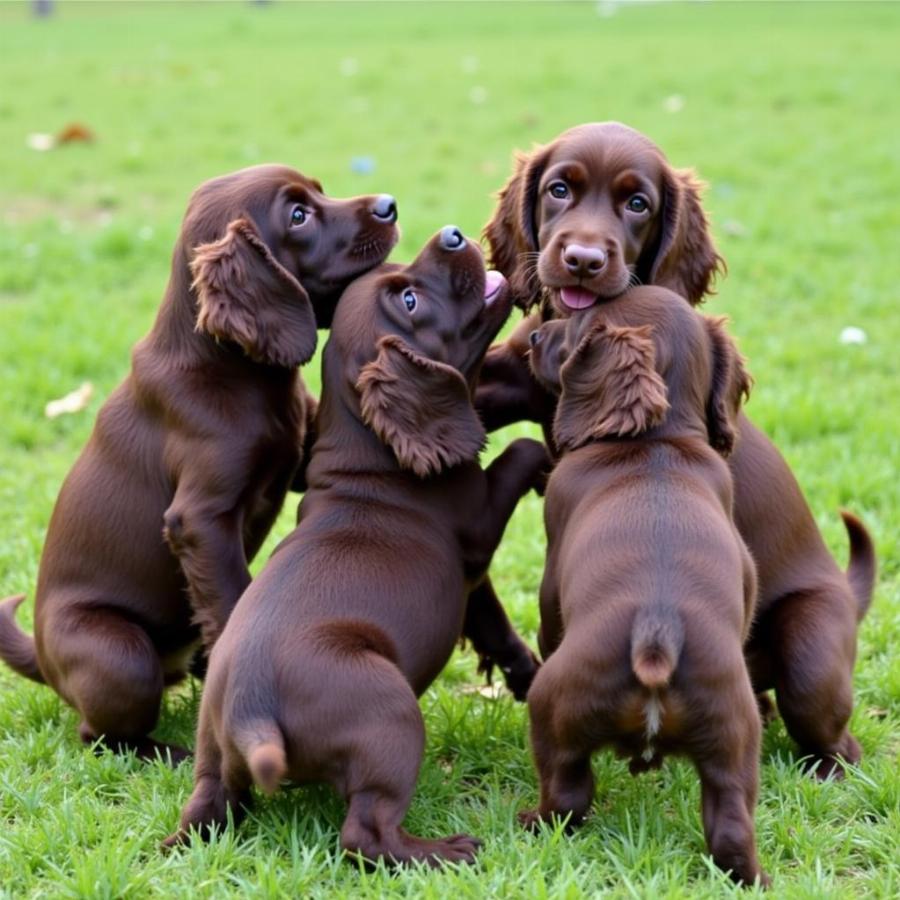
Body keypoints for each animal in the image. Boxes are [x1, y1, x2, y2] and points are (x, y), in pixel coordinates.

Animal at [0, 167, 398, 760]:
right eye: (298, 215)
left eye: (320, 190)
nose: (390, 205)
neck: (231, 367)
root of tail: (44, 661)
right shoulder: (200, 519)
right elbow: (232, 597)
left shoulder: (299, 453)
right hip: (119, 654)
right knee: (100, 734)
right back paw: (166, 751)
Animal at [165, 227, 552, 864]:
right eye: (409, 300)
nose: (451, 234)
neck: (369, 450)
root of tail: (250, 710)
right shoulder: (477, 526)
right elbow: (519, 455)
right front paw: (542, 463)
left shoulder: (468, 578)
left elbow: (491, 620)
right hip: (390, 717)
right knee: (365, 834)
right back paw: (446, 851)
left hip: (212, 756)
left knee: (206, 810)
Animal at [478, 123, 880, 776]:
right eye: (560, 189)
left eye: (638, 204)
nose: (583, 261)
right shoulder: (508, 377)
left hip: (810, 649)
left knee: (828, 728)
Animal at [528, 290, 768, 884]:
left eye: (579, 324)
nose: (533, 337)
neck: (658, 439)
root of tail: (657, 633)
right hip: (734, 741)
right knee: (732, 826)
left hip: (554, 708)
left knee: (567, 795)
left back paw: (530, 821)